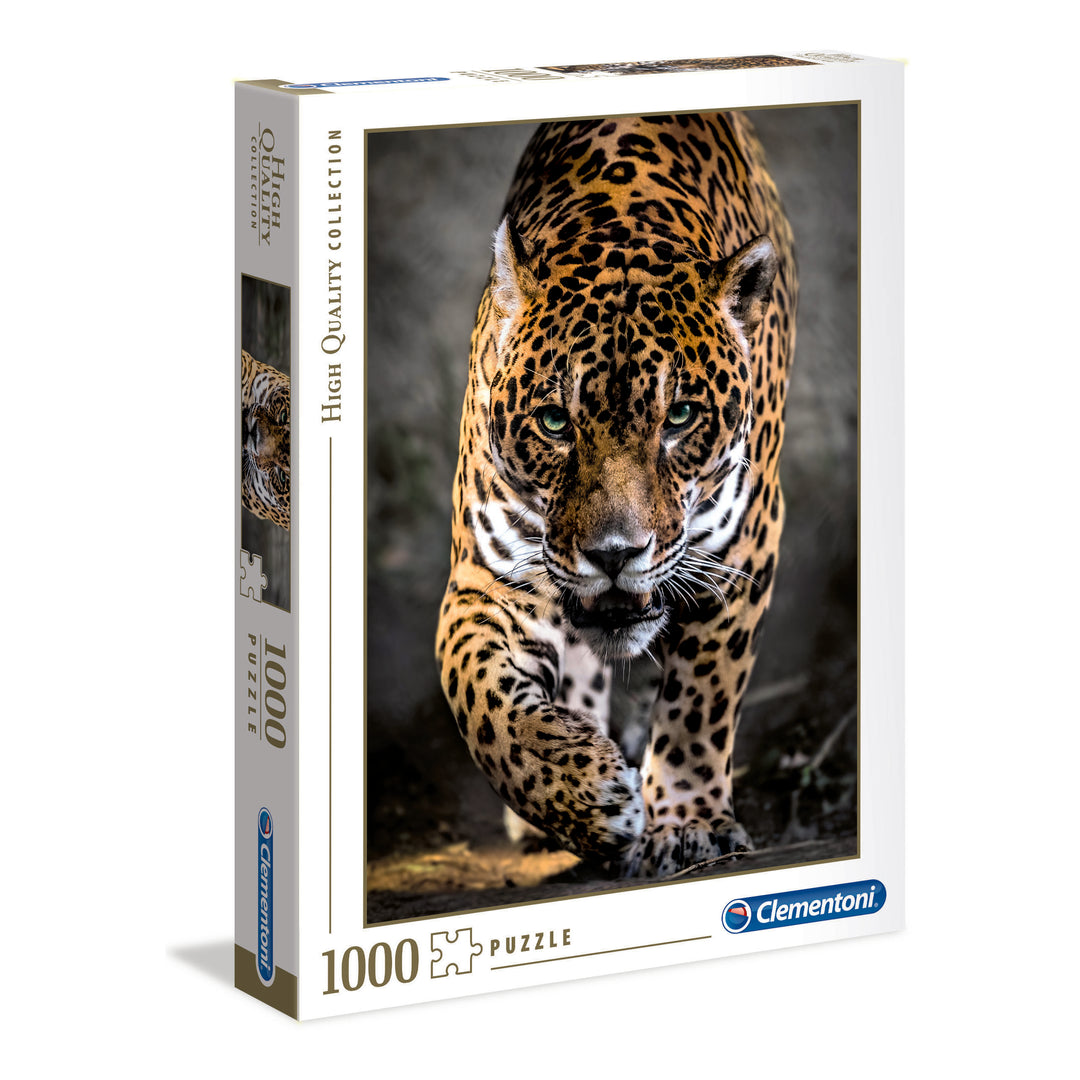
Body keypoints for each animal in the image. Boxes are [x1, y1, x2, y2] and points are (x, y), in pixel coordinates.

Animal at [435, 112, 796, 878]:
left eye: (680, 417)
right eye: (554, 423)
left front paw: (687, 823)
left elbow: (701, 699)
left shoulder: (742, 551)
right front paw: (582, 793)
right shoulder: (488, 576)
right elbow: (479, 697)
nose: (614, 554)